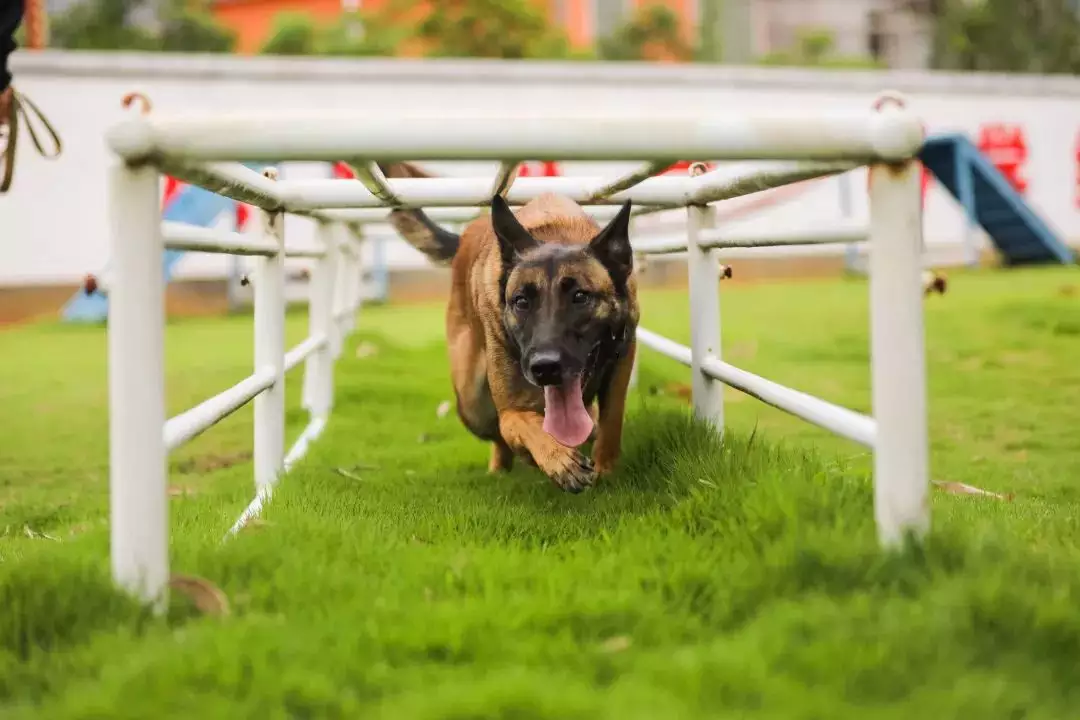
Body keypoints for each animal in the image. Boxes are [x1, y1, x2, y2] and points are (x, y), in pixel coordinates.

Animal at [375, 161, 635, 490]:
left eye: (580, 297)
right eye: (521, 302)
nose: (545, 367)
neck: (556, 233)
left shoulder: (623, 358)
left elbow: (612, 419)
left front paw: (607, 470)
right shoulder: (510, 410)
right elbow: (518, 422)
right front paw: (558, 459)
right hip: (472, 404)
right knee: (498, 435)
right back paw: (501, 468)